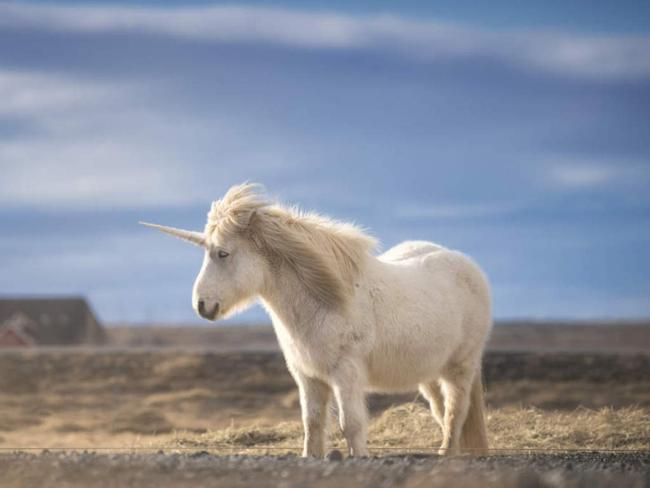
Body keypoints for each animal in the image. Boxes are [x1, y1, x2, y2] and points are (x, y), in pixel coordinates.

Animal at [140, 183, 486, 458]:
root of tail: (468, 266)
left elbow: (350, 423)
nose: (202, 305)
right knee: (442, 410)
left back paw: (447, 455)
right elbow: (313, 422)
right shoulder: (307, 376)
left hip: (460, 367)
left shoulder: (346, 374)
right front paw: (311, 457)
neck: (325, 301)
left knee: (456, 411)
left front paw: (359, 458)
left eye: (223, 253)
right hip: (430, 374)